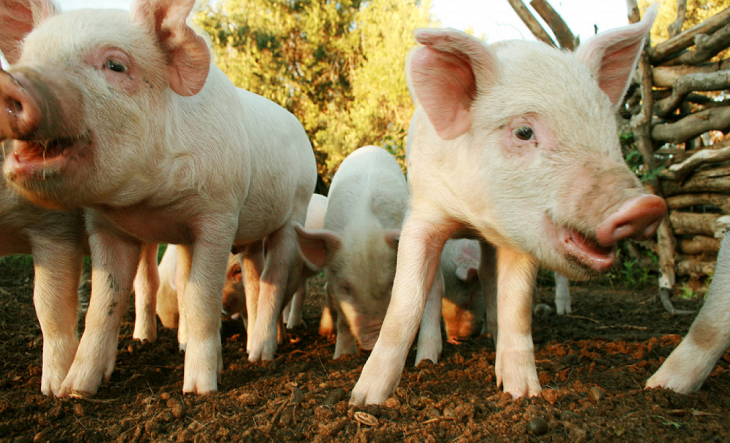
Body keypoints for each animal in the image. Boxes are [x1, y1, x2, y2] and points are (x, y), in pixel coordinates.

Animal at [0, 0, 316, 397]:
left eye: (115, 65)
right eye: (27, 56)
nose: (10, 82)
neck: (149, 201)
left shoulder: (220, 214)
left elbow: (200, 297)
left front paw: (199, 390)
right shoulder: (106, 226)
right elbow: (107, 302)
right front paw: (73, 391)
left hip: (295, 210)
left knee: (274, 279)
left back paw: (260, 356)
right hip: (246, 236)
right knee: (254, 280)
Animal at [296, 146, 442, 362]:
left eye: (391, 283)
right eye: (345, 287)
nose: (372, 341)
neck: (363, 223)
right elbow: (342, 317)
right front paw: (343, 356)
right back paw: (326, 332)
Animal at [351, 8, 666, 405]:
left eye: (607, 130)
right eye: (523, 132)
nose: (646, 205)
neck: (472, 217)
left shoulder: (521, 233)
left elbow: (516, 303)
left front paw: (524, 394)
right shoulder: (423, 215)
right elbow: (406, 302)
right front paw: (364, 400)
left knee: (491, 280)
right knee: (437, 289)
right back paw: (428, 358)